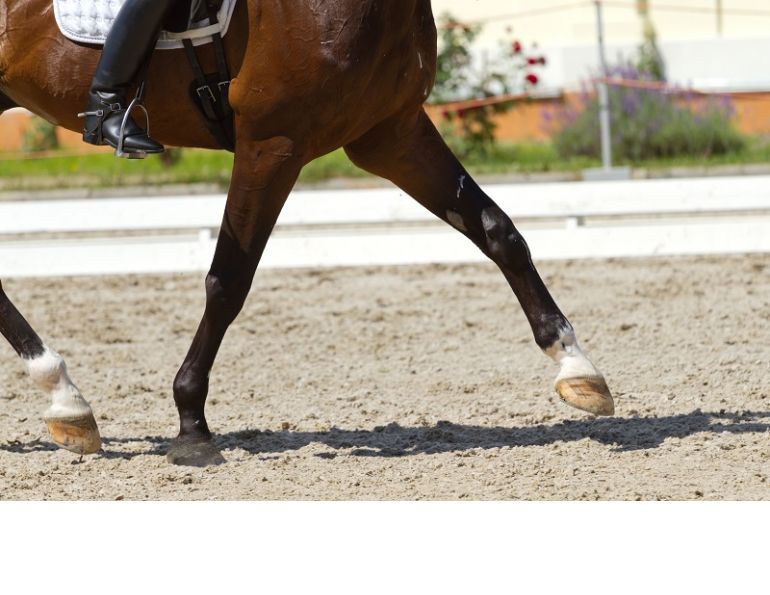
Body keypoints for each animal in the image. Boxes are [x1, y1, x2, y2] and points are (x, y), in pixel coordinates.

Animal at [0, 0, 614, 466]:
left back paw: (66, 402)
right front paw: (192, 425)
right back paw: (64, 394)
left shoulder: (391, 133)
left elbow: (497, 231)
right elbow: (229, 280)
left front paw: (577, 366)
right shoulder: (274, 142)